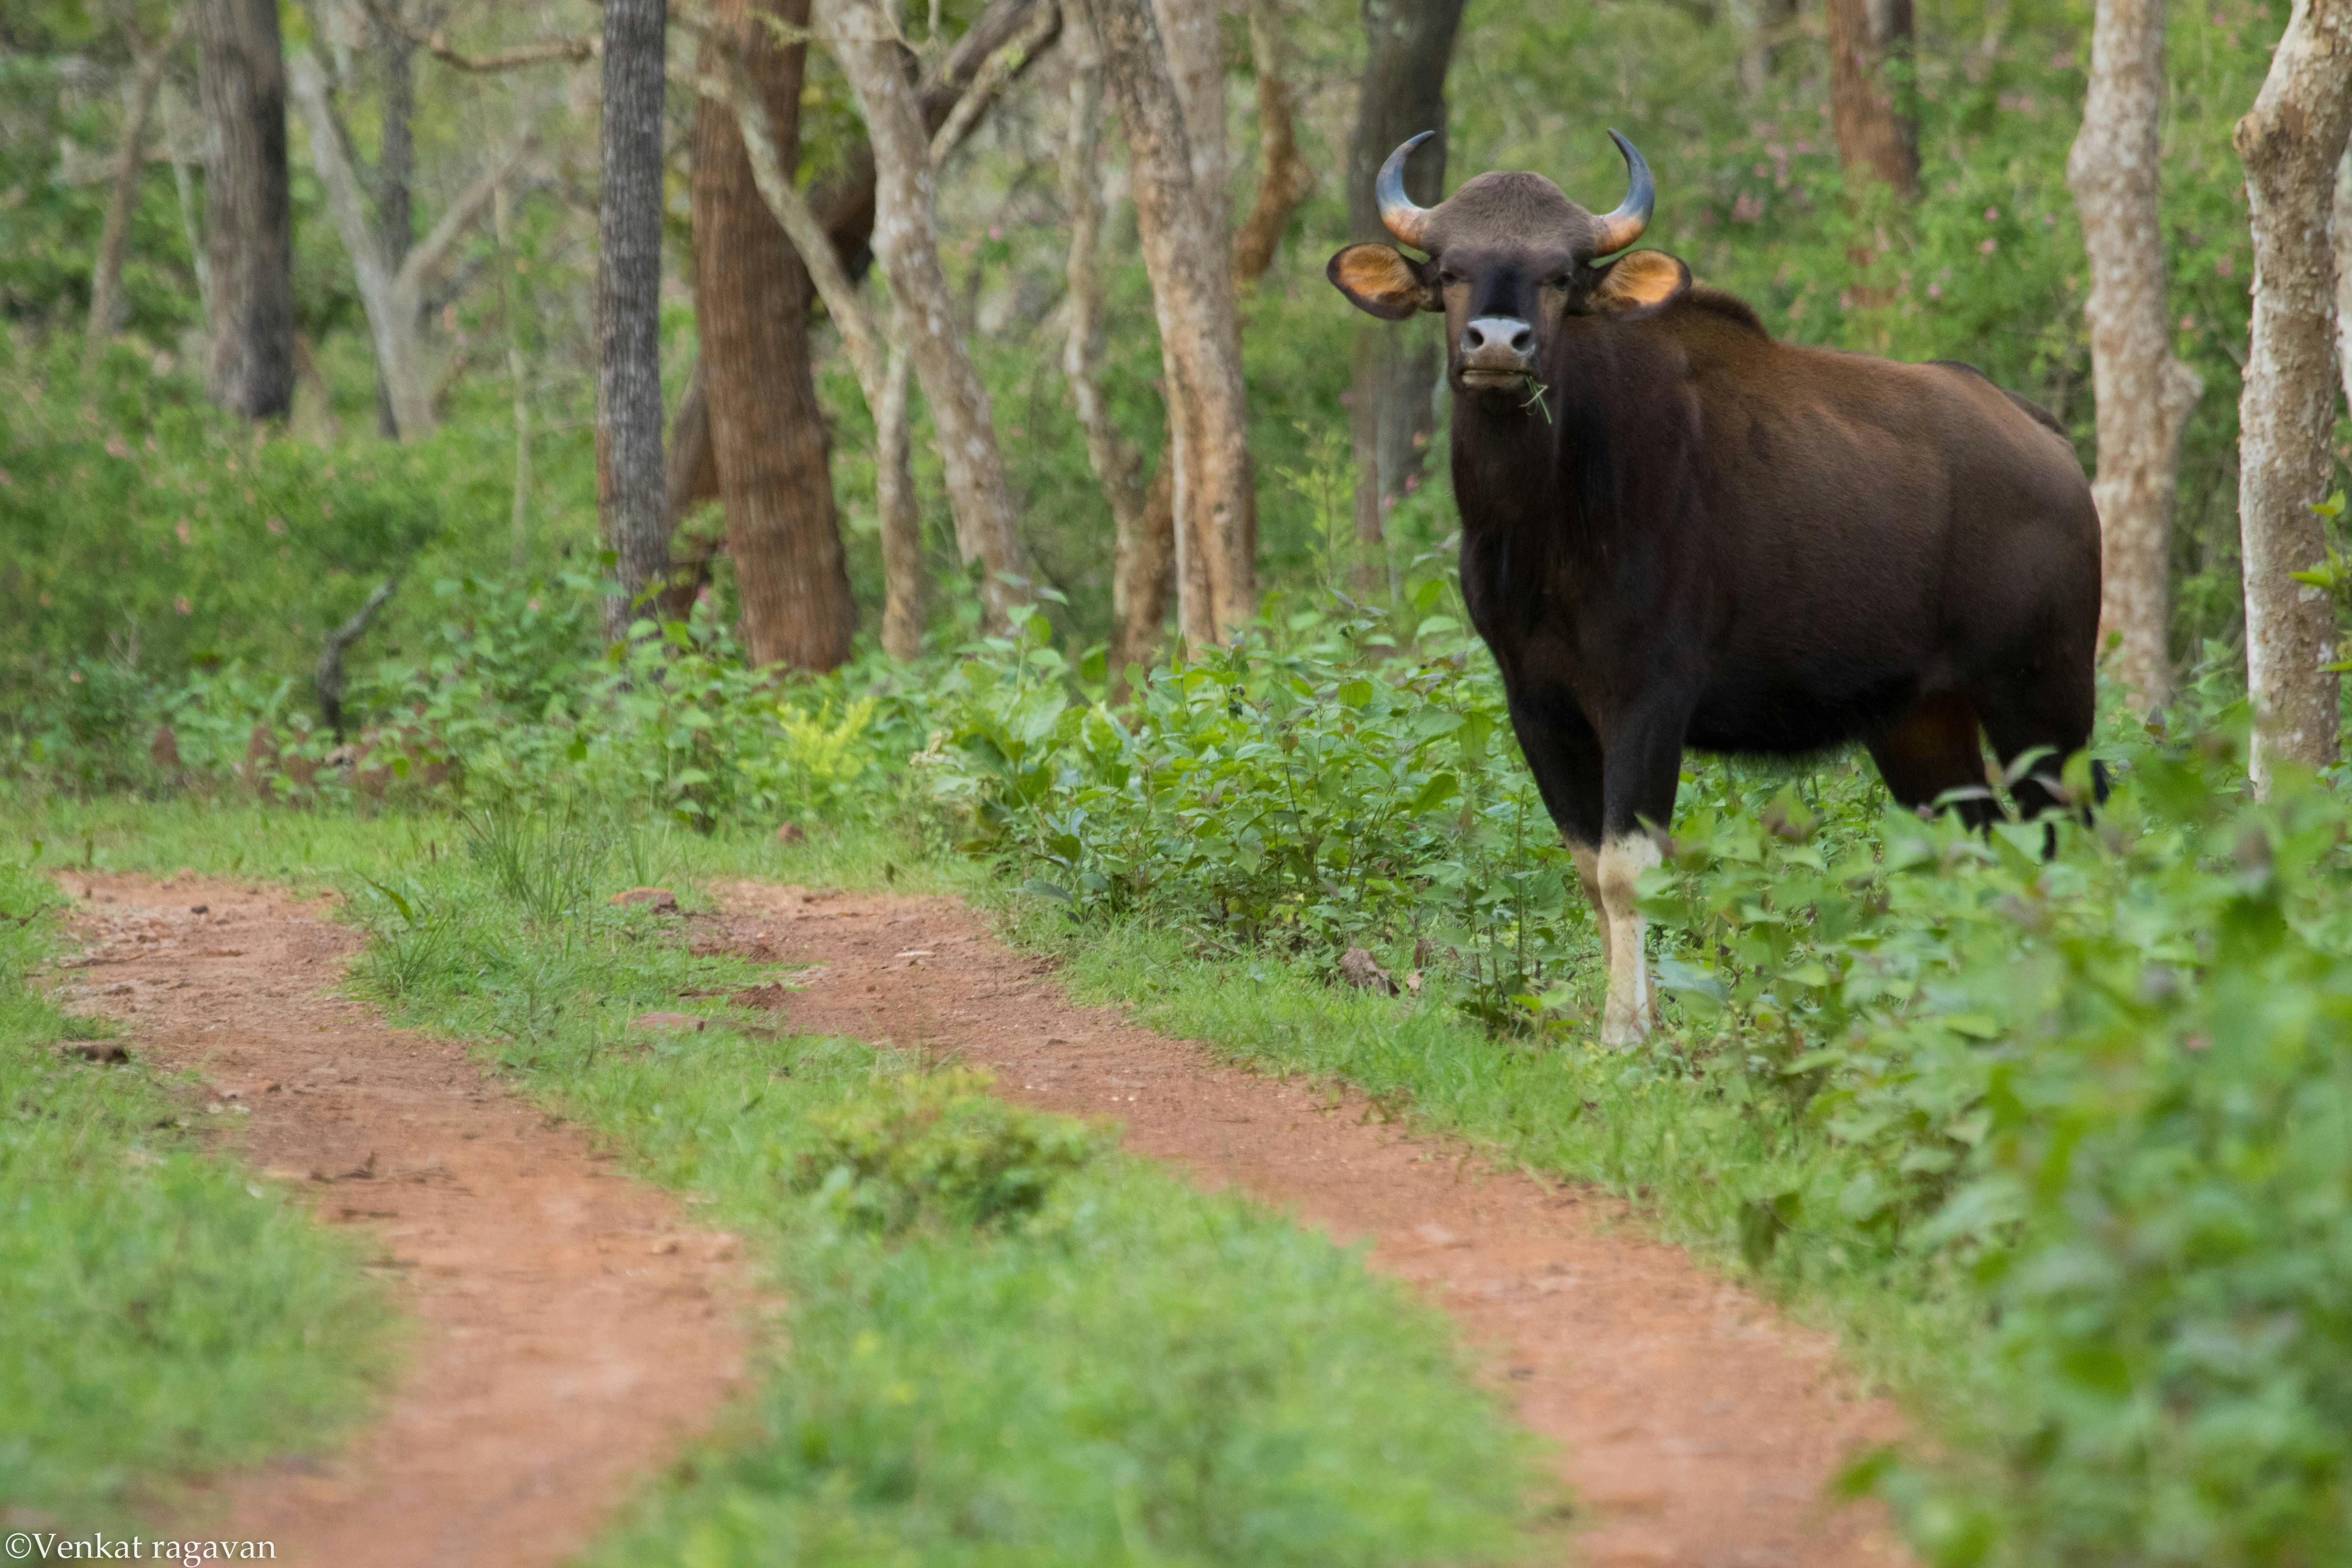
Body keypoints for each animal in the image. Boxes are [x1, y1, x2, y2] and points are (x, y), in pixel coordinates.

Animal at [1328, 131, 2103, 1047]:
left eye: (1559, 274)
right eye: (1449, 269)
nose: (1496, 344)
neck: (1549, 523)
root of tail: (2052, 449)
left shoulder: (1648, 697)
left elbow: (1629, 869)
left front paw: (1626, 1031)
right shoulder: (1536, 703)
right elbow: (1587, 867)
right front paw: (1637, 1014)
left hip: (2043, 699)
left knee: (2067, 832)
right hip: (1918, 720)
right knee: (1970, 846)